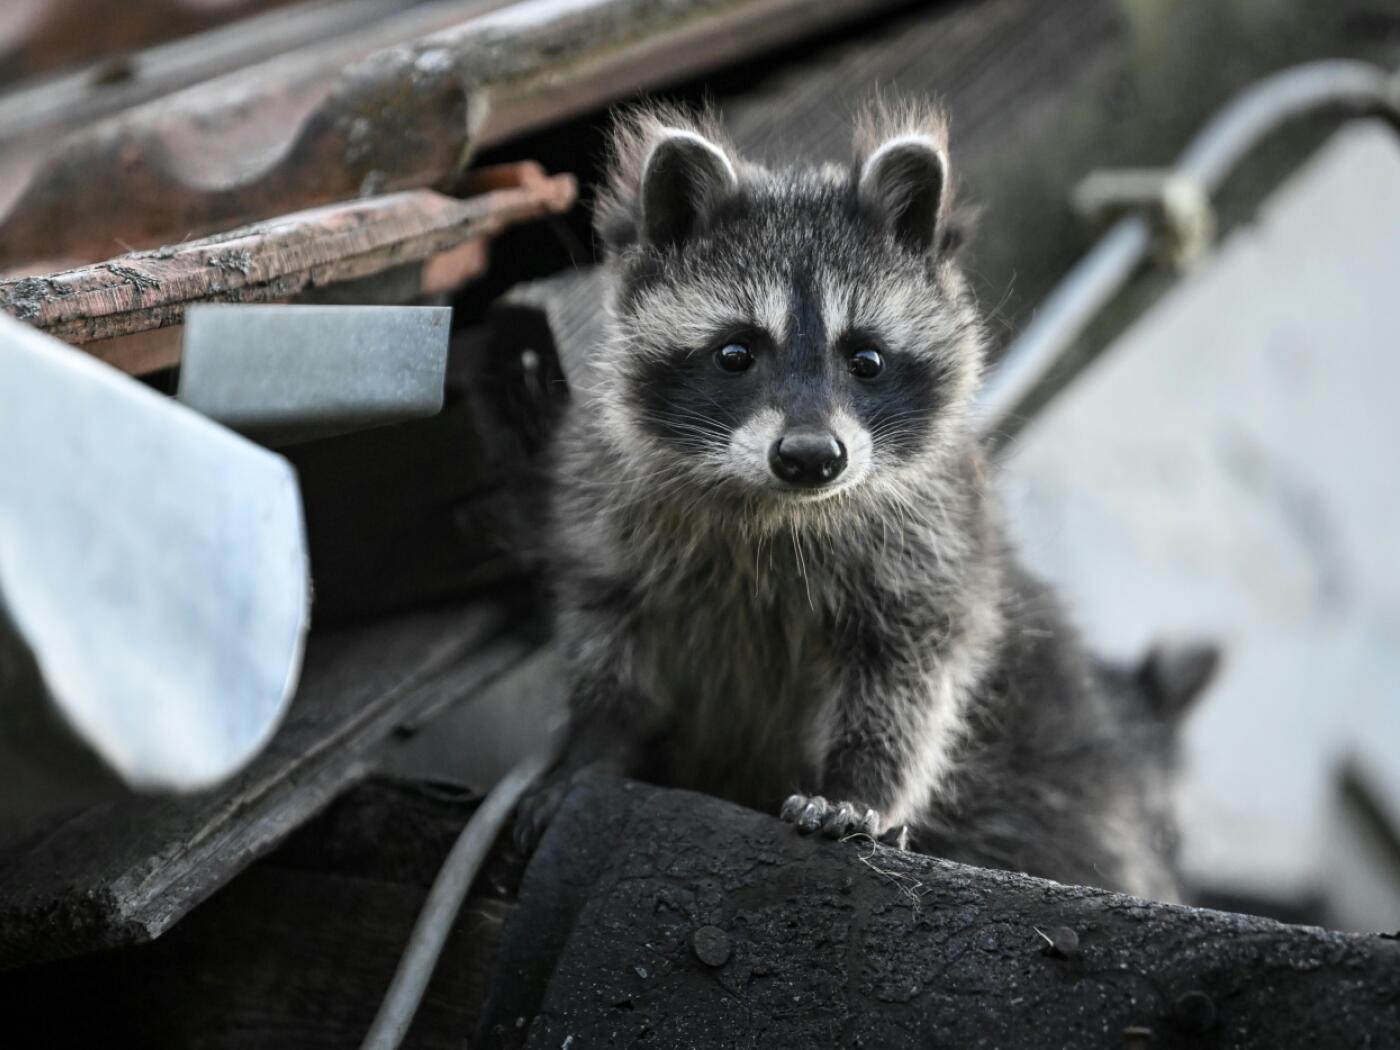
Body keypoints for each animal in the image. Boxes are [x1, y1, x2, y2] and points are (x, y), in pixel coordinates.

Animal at [518, 101, 1212, 900]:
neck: (777, 510)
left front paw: (861, 786)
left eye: (867, 359)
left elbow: (907, 674)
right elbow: (610, 646)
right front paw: (591, 746)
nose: (811, 458)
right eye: (735, 354)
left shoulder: (936, 540)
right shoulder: (605, 512)